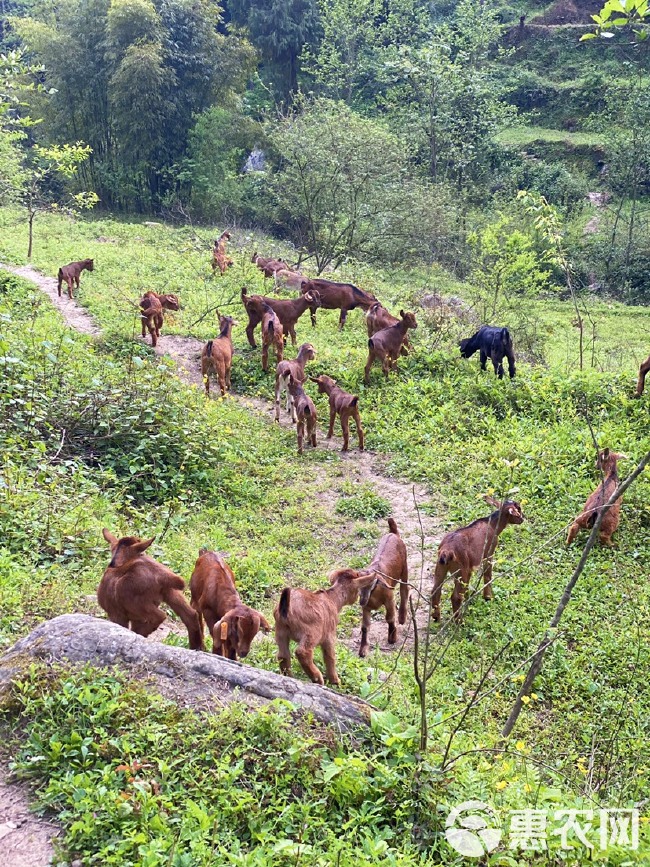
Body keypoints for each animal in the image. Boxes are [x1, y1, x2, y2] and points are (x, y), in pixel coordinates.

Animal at [354, 520, 404, 656]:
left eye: (373, 583)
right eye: (358, 585)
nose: (361, 601)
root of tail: (393, 533)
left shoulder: (389, 599)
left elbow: (390, 618)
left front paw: (392, 638)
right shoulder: (366, 607)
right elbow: (365, 626)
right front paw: (363, 649)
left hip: (405, 568)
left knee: (405, 590)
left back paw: (402, 617)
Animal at [428, 496, 524, 624]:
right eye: (518, 509)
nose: (522, 519)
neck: (492, 524)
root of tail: (446, 551)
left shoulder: (470, 567)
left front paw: (469, 598)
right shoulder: (489, 552)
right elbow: (488, 575)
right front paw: (488, 597)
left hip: (441, 566)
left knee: (435, 591)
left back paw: (436, 617)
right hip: (461, 569)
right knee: (455, 596)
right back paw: (459, 621)